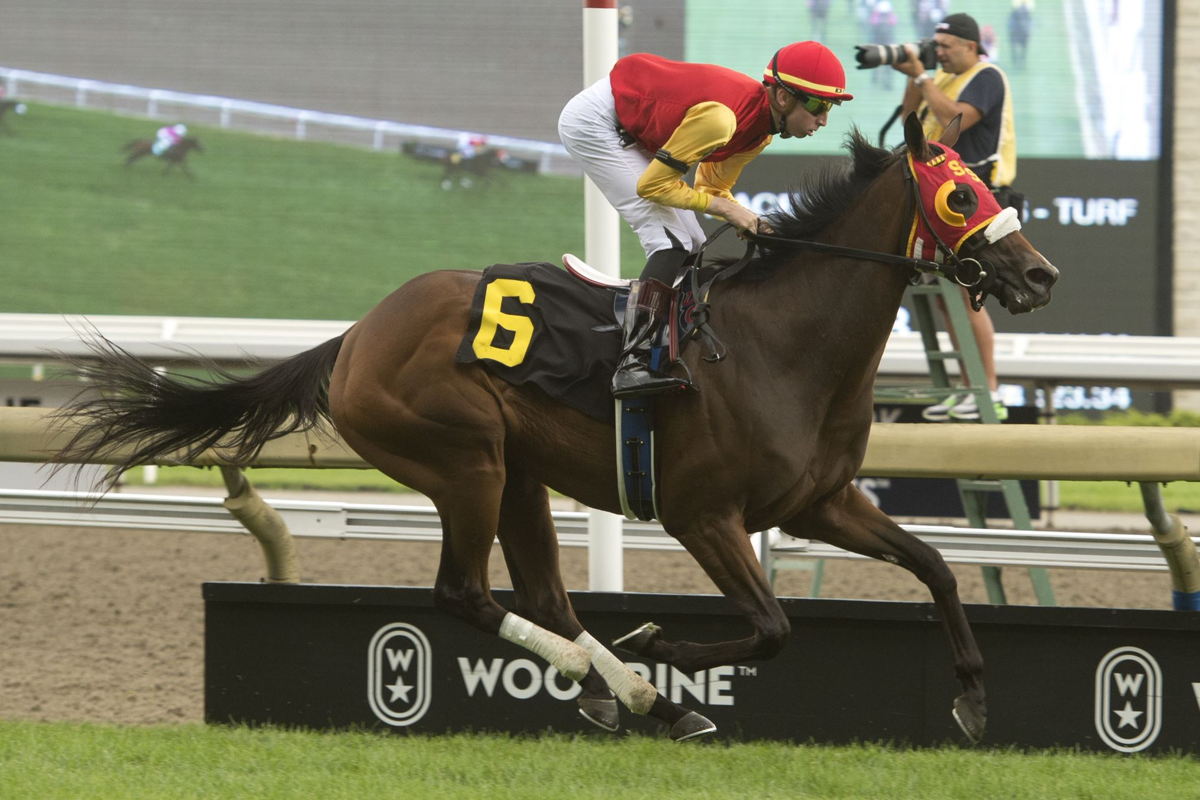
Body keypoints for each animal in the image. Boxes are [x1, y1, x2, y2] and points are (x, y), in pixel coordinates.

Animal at [51, 115, 1056, 748]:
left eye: (983, 186)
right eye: (960, 199)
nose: (1040, 274)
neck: (781, 344)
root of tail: (357, 336)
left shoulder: (820, 502)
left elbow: (934, 566)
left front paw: (973, 700)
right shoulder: (702, 514)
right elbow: (771, 627)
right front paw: (661, 650)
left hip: (519, 474)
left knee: (545, 597)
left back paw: (630, 697)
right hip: (466, 462)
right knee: (466, 594)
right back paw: (632, 684)